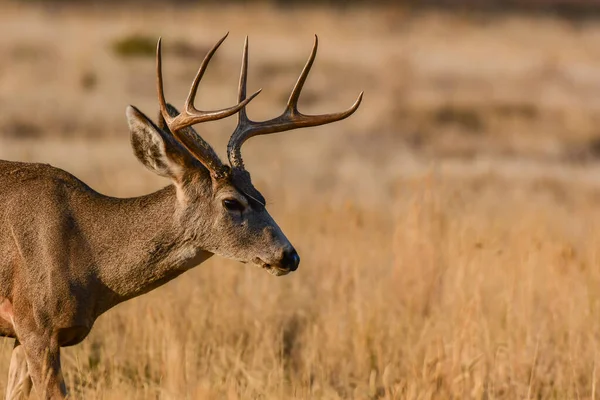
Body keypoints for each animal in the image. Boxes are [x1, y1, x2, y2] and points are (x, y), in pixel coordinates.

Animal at [0, 32, 360, 398]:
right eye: (231, 202)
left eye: (262, 197)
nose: (289, 255)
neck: (87, 257)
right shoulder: (36, 324)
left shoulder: (26, 335)